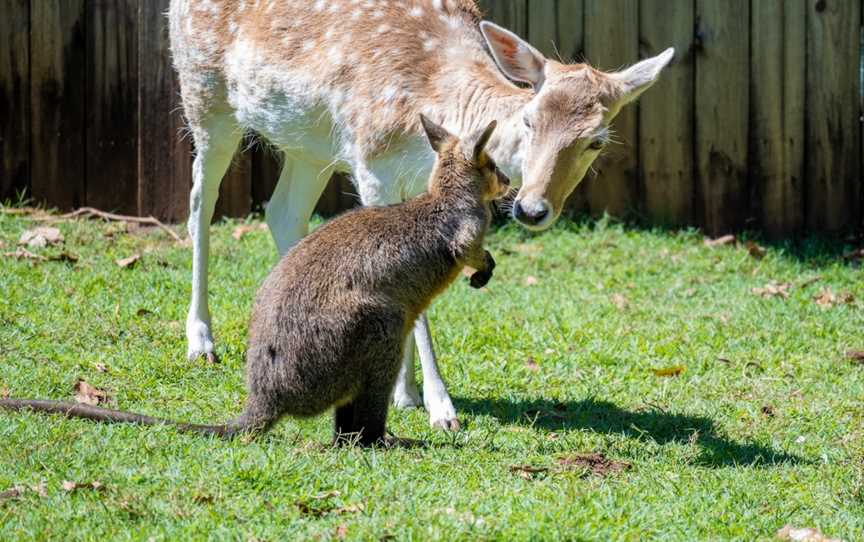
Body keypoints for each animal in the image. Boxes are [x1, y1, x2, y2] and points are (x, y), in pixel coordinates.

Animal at [170, 0, 676, 434]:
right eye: (529, 120)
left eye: (596, 141)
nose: (531, 208)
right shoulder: (371, 162)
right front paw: (441, 408)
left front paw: (406, 391)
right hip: (204, 92)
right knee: (199, 201)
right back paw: (201, 341)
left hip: (309, 144)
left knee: (282, 212)